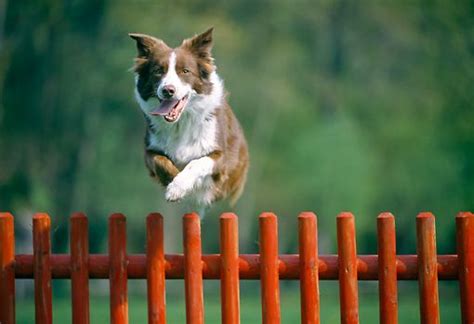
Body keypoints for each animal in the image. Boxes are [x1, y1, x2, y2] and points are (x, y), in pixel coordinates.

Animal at [130, 29, 248, 209]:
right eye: (158, 71)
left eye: (185, 71)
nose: (168, 90)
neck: (180, 123)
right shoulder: (149, 151)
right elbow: (161, 161)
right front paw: (174, 185)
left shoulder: (221, 157)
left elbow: (197, 163)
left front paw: (178, 187)